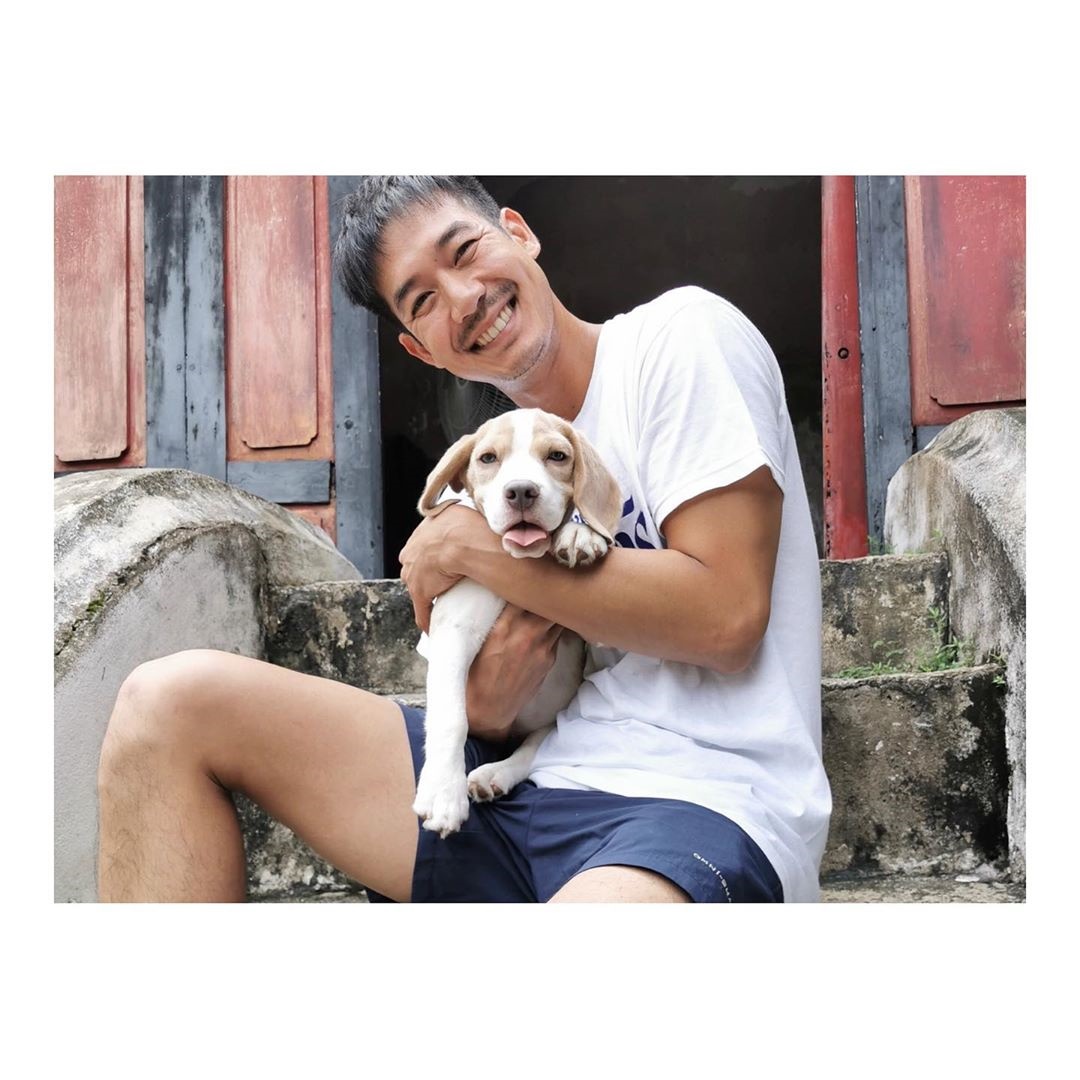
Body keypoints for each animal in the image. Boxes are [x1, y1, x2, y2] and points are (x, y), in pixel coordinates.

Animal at [411, 407, 621, 837]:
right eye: (488, 458)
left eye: (557, 456)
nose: (522, 491)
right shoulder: (454, 633)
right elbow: (451, 718)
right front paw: (443, 793)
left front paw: (581, 534)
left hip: (554, 717)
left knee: (534, 748)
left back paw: (494, 774)